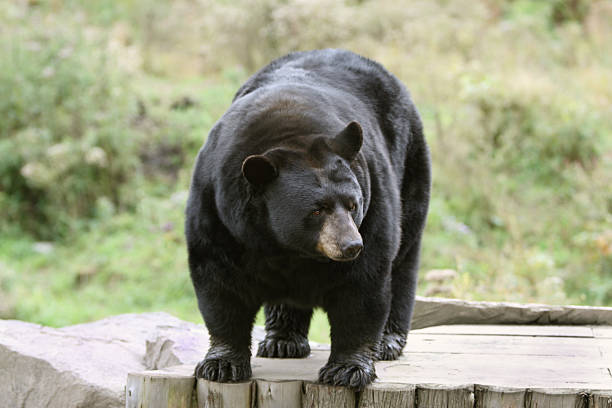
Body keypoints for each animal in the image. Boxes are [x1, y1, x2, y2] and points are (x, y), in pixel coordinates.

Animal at [185, 48, 430, 388]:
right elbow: (220, 283)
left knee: (403, 260)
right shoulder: (218, 211)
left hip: (411, 167)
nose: (351, 245)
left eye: (352, 205)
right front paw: (221, 364)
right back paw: (281, 340)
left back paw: (388, 341)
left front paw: (347, 369)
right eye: (316, 210)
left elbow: (363, 285)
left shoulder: (375, 199)